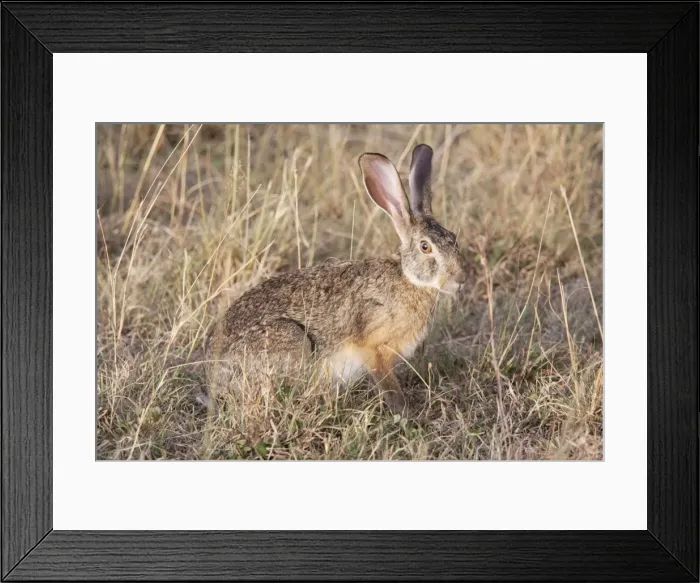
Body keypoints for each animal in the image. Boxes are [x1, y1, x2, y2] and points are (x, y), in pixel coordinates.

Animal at [206, 143, 469, 414]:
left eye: (453, 237)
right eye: (425, 247)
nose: (461, 277)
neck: (409, 279)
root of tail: (215, 375)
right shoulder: (375, 348)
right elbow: (388, 386)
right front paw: (404, 412)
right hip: (290, 339)